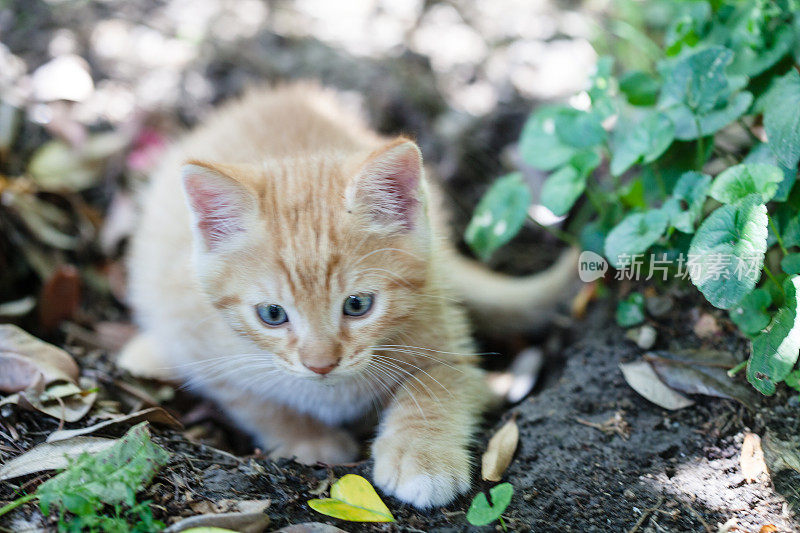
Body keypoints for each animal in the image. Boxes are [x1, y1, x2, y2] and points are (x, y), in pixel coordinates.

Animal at [122, 83, 576, 508]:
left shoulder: (447, 334)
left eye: (357, 305)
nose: (320, 364)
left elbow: (438, 384)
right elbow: (256, 402)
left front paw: (421, 455)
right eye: (272, 314)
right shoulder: (202, 343)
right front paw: (308, 439)